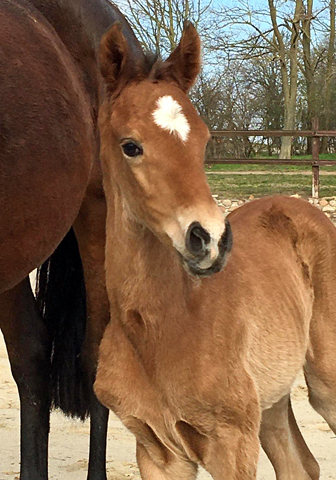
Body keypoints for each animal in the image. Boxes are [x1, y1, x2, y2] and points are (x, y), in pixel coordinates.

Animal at [93, 21, 334, 480]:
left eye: (204, 139)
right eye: (130, 145)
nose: (212, 239)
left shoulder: (232, 444)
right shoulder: (156, 450)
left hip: (326, 382)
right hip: (270, 401)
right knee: (300, 464)